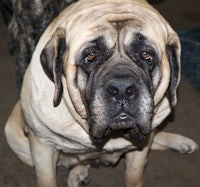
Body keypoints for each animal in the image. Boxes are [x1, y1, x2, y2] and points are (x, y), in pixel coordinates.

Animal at [5, 0, 198, 187]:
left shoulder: (140, 148)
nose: (122, 90)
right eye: (91, 56)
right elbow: (47, 179)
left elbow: (133, 177)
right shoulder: (42, 147)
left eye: (145, 54)